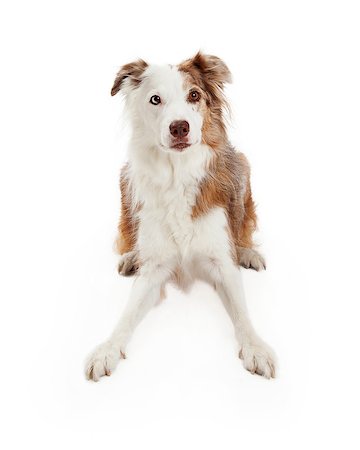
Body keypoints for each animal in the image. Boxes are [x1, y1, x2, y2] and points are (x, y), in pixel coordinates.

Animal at [85, 53, 276, 384]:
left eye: (194, 96)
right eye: (155, 99)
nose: (179, 128)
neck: (178, 174)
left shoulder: (221, 262)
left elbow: (242, 313)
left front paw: (256, 348)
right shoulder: (154, 269)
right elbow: (126, 315)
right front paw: (106, 349)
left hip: (242, 167)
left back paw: (248, 252)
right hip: (125, 177)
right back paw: (131, 256)